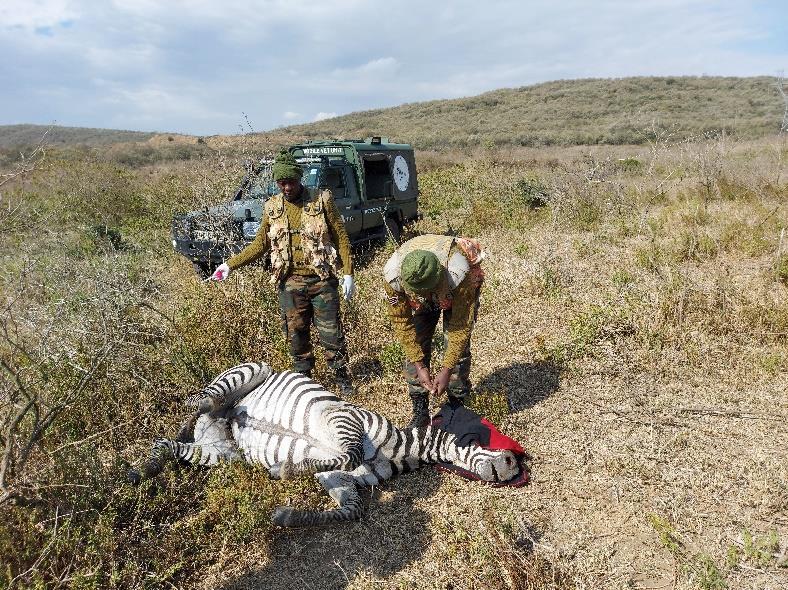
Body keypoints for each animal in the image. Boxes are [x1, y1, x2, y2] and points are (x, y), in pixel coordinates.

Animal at [129, 361, 520, 527]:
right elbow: (348, 453)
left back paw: (142, 470)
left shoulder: (340, 478)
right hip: (252, 370)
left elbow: (351, 508)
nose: (514, 467)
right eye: (484, 440)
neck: (398, 450)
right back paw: (198, 404)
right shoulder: (344, 420)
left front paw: (288, 516)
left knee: (168, 442)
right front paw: (285, 470)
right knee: (203, 400)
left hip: (222, 455)